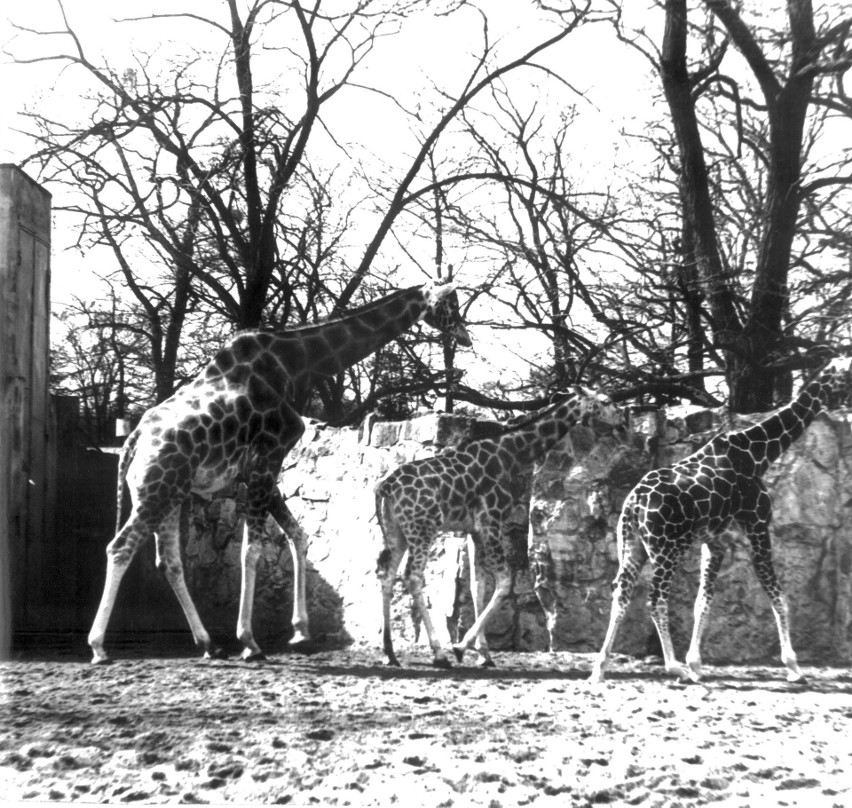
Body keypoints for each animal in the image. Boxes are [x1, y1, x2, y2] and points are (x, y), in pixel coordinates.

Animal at [87, 282, 472, 664]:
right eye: (449, 304)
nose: (466, 338)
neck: (294, 365)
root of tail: (132, 442)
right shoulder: (267, 459)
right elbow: (252, 548)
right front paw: (250, 641)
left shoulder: (257, 469)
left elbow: (298, 536)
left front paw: (300, 632)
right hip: (156, 492)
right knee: (119, 547)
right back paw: (99, 647)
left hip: (173, 494)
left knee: (168, 561)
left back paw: (209, 644)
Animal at [374, 386, 624, 668]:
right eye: (606, 401)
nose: (622, 421)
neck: (511, 455)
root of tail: (385, 488)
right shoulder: (491, 521)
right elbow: (504, 582)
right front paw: (461, 647)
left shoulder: (474, 530)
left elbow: (477, 586)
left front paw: (484, 654)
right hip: (422, 529)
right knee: (412, 576)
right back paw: (438, 653)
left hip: (396, 532)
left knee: (386, 573)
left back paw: (389, 653)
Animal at [588, 356, 852, 684]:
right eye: (848, 373)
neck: (757, 454)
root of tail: (633, 505)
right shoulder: (757, 527)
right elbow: (779, 596)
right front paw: (793, 666)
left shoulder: (715, 542)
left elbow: (703, 602)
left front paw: (696, 664)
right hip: (666, 547)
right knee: (655, 598)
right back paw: (673, 667)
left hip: (632, 545)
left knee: (621, 591)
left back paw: (600, 668)